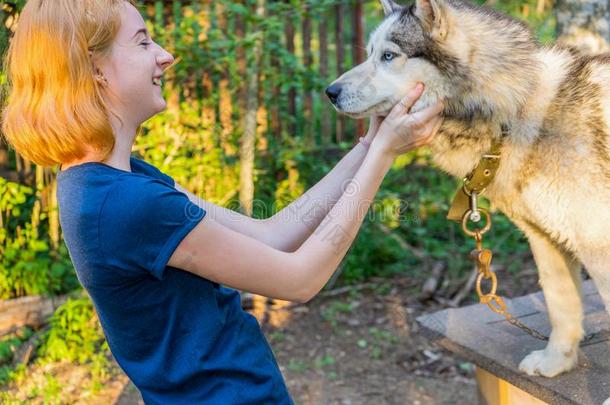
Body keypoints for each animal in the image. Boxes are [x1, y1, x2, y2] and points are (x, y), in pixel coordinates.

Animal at [326, 0, 608, 376]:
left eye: (388, 56)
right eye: (370, 53)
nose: (330, 92)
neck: (516, 111)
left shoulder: (597, 245)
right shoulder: (544, 239)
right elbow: (561, 306)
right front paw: (555, 364)